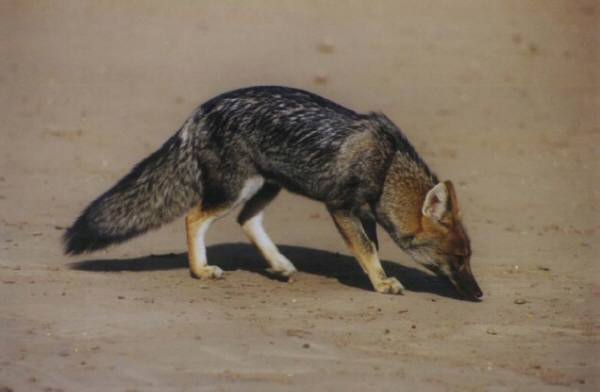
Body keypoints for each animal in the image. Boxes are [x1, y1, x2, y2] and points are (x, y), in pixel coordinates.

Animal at [63, 86, 482, 300]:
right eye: (458, 259)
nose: (478, 293)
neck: (387, 163)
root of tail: (199, 112)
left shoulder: (363, 212)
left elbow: (371, 248)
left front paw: (374, 275)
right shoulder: (341, 206)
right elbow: (366, 248)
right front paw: (381, 283)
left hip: (268, 186)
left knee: (246, 220)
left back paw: (279, 264)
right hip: (237, 188)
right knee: (194, 217)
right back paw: (201, 270)